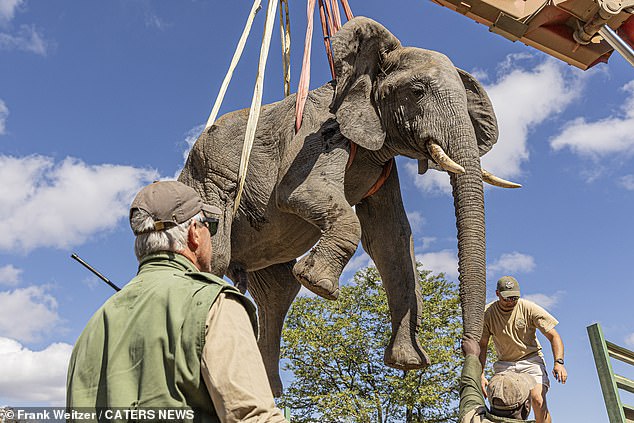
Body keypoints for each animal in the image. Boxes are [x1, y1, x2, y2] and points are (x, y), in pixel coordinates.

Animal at [177, 14, 512, 396]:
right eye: (417, 92)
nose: (470, 348)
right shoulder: (316, 131)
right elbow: (297, 193)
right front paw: (319, 285)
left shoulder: (381, 161)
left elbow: (391, 237)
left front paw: (408, 362)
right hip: (204, 184)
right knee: (216, 259)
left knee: (277, 291)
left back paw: (267, 389)